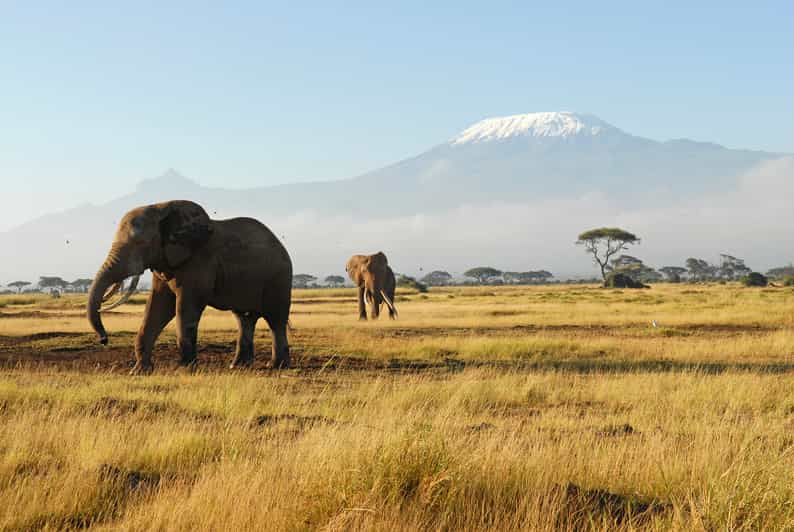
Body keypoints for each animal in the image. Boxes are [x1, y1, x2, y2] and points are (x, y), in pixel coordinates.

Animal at [87, 201, 290, 374]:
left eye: (141, 244)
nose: (104, 340)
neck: (161, 207)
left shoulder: (199, 261)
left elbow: (186, 307)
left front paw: (184, 369)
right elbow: (157, 307)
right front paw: (139, 371)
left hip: (279, 278)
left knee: (276, 320)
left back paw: (276, 366)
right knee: (244, 318)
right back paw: (237, 366)